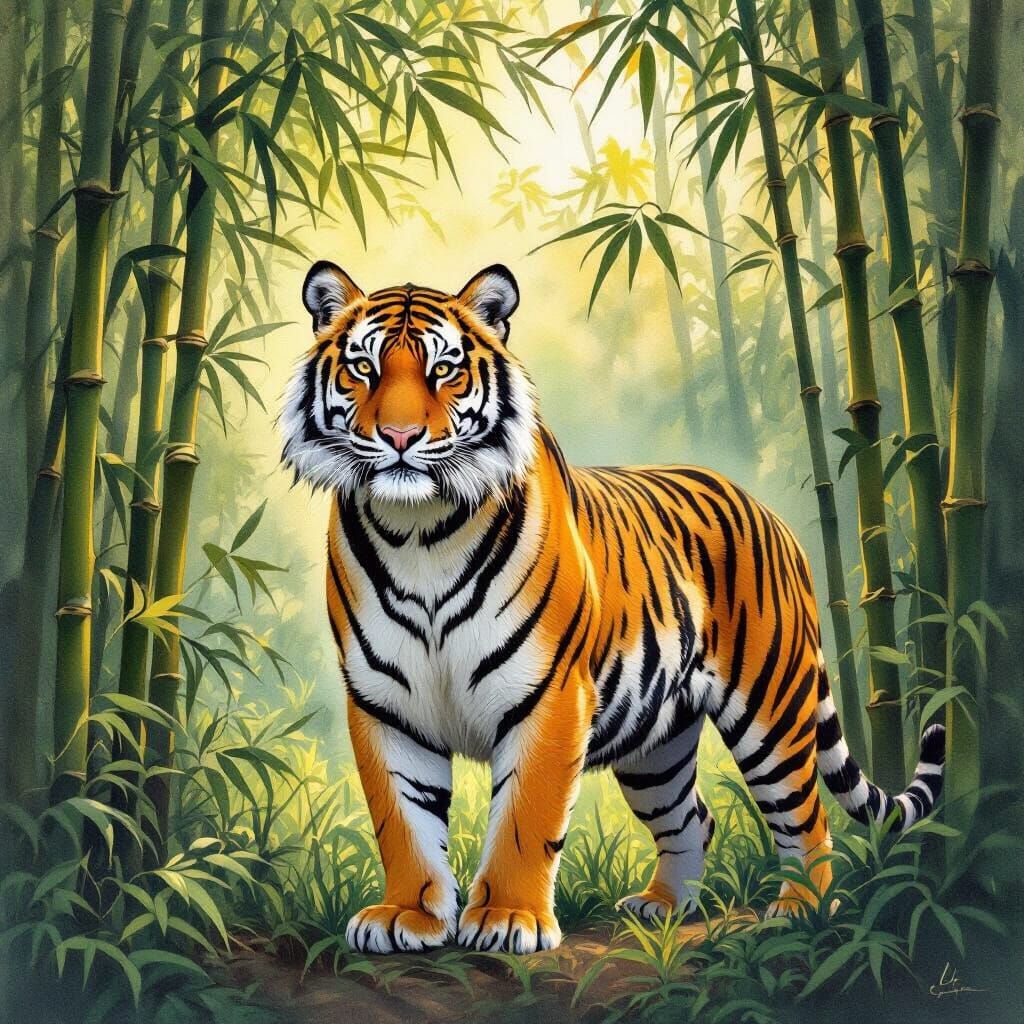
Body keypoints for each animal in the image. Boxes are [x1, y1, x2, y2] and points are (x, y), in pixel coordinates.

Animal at [280, 261, 946, 956]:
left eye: (444, 369)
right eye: (362, 367)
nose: (401, 436)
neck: (420, 532)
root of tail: (774, 515)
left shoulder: (548, 696)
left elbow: (525, 816)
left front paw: (508, 918)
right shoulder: (385, 705)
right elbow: (402, 820)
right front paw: (406, 916)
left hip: (772, 711)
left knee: (807, 819)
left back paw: (803, 912)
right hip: (657, 744)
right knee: (693, 817)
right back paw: (665, 906)